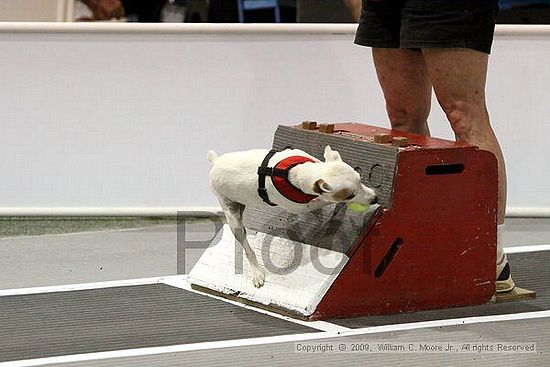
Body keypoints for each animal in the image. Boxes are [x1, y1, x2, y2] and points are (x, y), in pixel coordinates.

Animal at [208, 146, 380, 288]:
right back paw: (257, 273)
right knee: (247, 247)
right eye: (350, 195)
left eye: (360, 179)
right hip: (233, 219)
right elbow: (324, 201)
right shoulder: (301, 206)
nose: (375, 198)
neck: (293, 173)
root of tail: (216, 161)